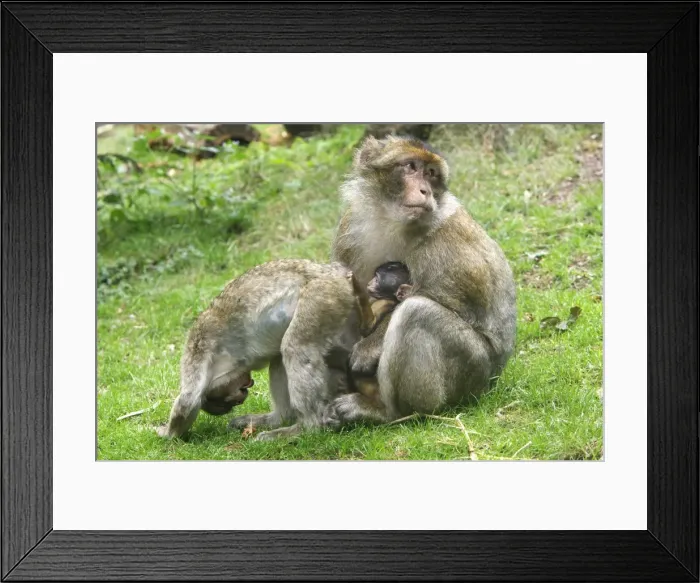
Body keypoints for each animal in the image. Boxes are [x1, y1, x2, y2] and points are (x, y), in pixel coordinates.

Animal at [156, 259, 365, 441]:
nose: (243, 394)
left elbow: (188, 400)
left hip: (323, 294)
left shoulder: (198, 346)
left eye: (229, 401)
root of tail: (332, 271)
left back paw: (306, 427)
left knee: (295, 347)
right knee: (280, 358)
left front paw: (167, 433)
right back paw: (279, 418)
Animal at [322, 134, 517, 428]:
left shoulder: (447, 241)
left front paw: (368, 347)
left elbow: (454, 304)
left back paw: (388, 412)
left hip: (473, 371)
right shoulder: (350, 226)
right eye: (411, 167)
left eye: (431, 174)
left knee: (417, 313)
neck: (391, 222)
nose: (425, 190)